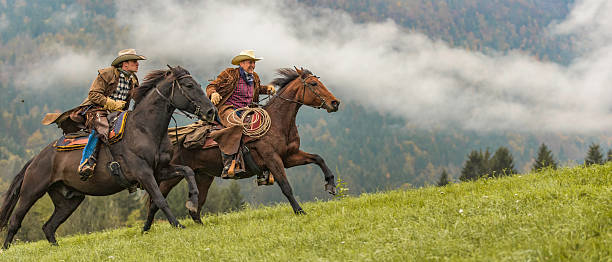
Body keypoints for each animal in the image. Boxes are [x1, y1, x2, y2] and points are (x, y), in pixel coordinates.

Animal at [0, 66, 216, 250]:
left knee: (49, 227)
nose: (210, 111)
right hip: (31, 192)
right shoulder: (143, 173)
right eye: (189, 86)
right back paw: (6, 249)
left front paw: (192, 203)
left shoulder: (160, 170)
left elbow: (187, 172)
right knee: (15, 221)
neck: (144, 129)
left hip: (69, 200)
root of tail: (36, 158)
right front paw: (178, 225)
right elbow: (160, 199)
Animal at [145, 68, 342, 229]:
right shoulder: (273, 159)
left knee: (196, 205)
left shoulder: (289, 157)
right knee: (156, 201)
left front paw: (331, 185)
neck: (278, 122)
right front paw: (300, 211)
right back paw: (148, 228)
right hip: (172, 175)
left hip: (203, 176)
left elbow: (318, 158)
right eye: (314, 84)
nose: (335, 103)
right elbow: (286, 186)